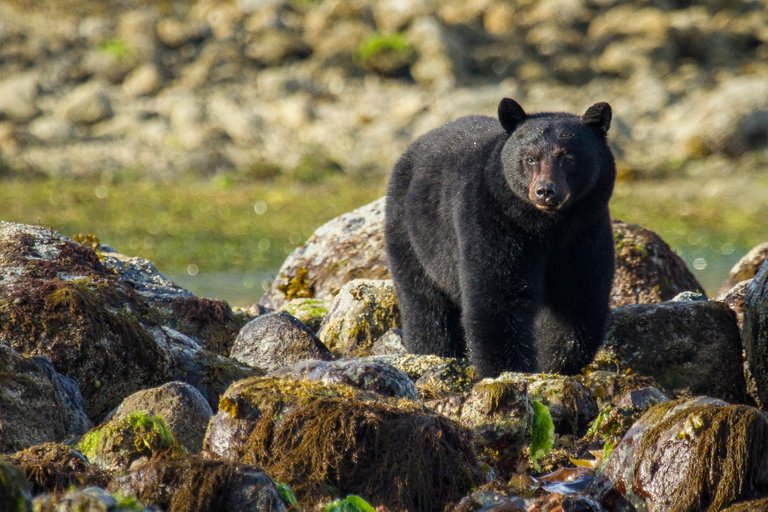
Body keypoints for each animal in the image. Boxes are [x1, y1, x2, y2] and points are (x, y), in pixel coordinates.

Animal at [388, 98, 616, 376]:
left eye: (568, 158)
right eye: (529, 158)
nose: (545, 191)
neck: (548, 228)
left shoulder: (585, 233)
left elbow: (579, 296)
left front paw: (553, 363)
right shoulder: (494, 222)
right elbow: (497, 297)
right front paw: (506, 370)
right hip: (410, 234)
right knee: (424, 303)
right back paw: (433, 351)